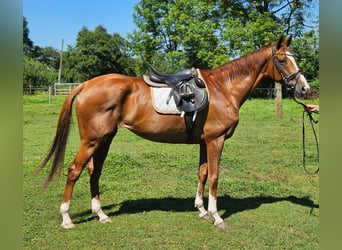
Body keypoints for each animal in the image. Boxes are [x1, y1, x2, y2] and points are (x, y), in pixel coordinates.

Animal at [36, 34, 310, 229]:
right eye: (283, 60)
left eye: (294, 58)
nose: (304, 89)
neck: (224, 88)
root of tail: (85, 85)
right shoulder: (216, 140)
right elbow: (214, 176)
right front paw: (216, 216)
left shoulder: (204, 142)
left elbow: (202, 173)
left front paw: (201, 209)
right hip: (92, 140)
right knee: (74, 170)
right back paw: (67, 219)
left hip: (105, 139)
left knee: (94, 172)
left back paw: (101, 214)